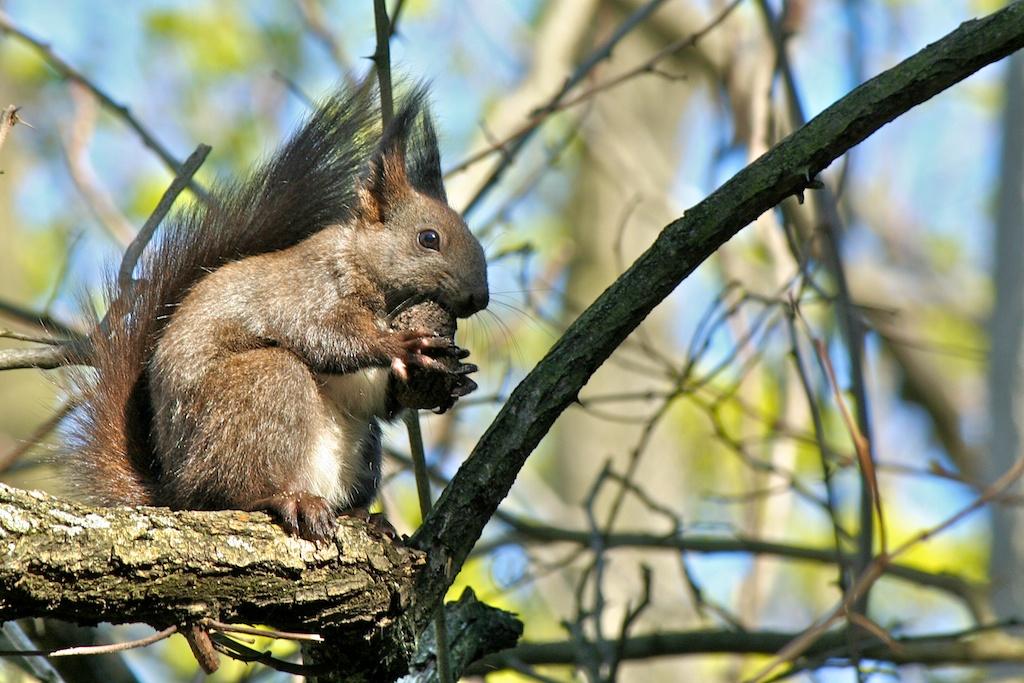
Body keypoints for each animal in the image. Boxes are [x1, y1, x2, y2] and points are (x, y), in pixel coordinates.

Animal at [66, 82, 489, 540]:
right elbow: (323, 336)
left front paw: (441, 384)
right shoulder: (305, 292)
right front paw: (398, 344)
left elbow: (378, 397)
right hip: (261, 390)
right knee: (234, 490)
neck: (359, 263)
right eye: (429, 238)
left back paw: (364, 516)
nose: (480, 298)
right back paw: (285, 499)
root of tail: (174, 491)